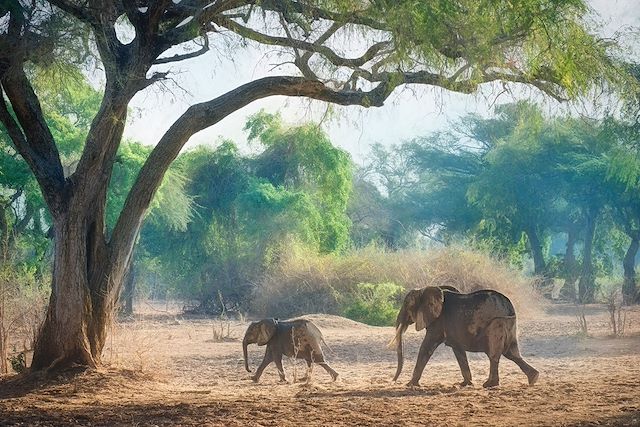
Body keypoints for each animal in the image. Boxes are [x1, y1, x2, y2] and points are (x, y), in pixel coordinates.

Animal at [392, 286, 536, 390]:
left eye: (407, 305)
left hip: (497, 323)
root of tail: (510, 307)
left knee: (494, 355)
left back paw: (489, 385)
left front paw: (410, 385)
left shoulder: (438, 322)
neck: (423, 290)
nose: (393, 381)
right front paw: (465, 384)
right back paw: (533, 379)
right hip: (508, 324)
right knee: (512, 353)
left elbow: (427, 347)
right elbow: (458, 350)